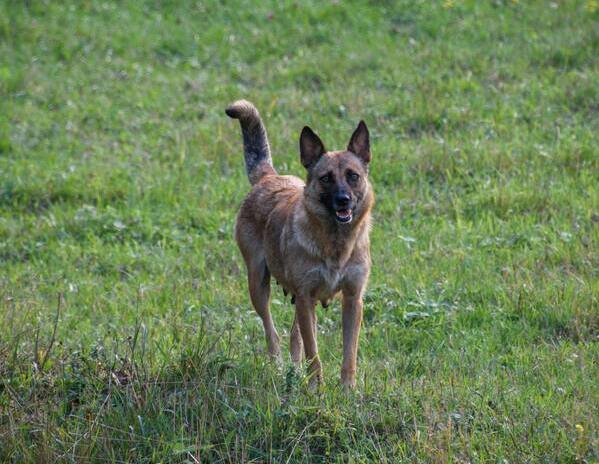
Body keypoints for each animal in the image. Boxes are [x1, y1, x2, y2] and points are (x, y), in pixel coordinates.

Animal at [226, 100, 376, 388]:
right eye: (326, 178)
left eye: (353, 176)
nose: (343, 200)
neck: (335, 244)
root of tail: (268, 178)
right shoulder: (307, 297)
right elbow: (313, 352)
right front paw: (316, 388)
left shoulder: (352, 299)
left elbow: (348, 353)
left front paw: (347, 390)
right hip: (258, 285)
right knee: (273, 333)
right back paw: (278, 367)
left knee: (295, 337)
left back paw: (294, 371)